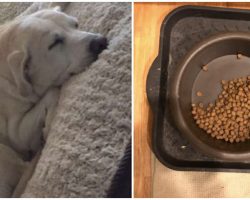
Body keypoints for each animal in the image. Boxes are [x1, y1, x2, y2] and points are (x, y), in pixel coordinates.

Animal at [0, 6, 106, 197]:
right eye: (54, 43)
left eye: (76, 24)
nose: (101, 42)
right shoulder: (18, 134)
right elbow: (52, 91)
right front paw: (48, 124)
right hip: (4, 151)